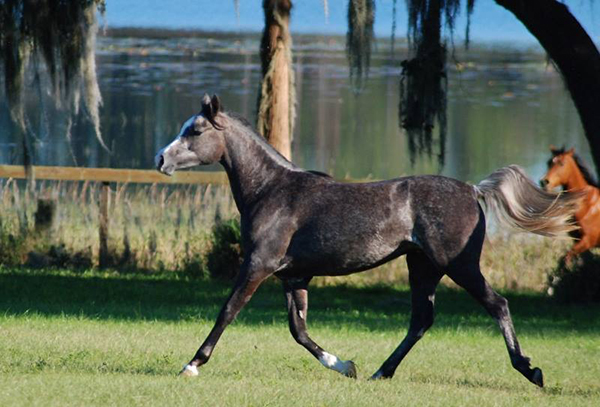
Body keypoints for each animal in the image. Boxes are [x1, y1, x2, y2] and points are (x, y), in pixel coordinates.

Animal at [156, 94, 580, 388]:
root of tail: (473, 189)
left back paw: (530, 370)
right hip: (422, 267)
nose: (160, 159)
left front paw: (191, 364)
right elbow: (299, 330)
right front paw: (345, 366)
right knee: (421, 319)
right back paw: (380, 372)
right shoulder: (293, 277)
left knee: (497, 305)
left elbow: (228, 311)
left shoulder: (258, 266)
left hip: (458, 265)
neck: (272, 191)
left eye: (195, 131)